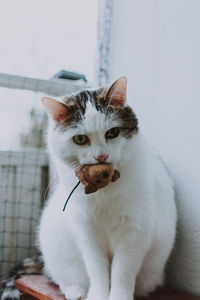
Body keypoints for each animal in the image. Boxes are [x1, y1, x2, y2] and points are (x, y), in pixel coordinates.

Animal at [1, 76, 177, 298]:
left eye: (113, 132)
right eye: (80, 139)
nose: (101, 156)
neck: (103, 190)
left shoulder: (134, 231)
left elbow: (122, 272)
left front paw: (119, 296)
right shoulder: (87, 233)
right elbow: (98, 269)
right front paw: (98, 295)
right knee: (59, 277)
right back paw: (75, 291)